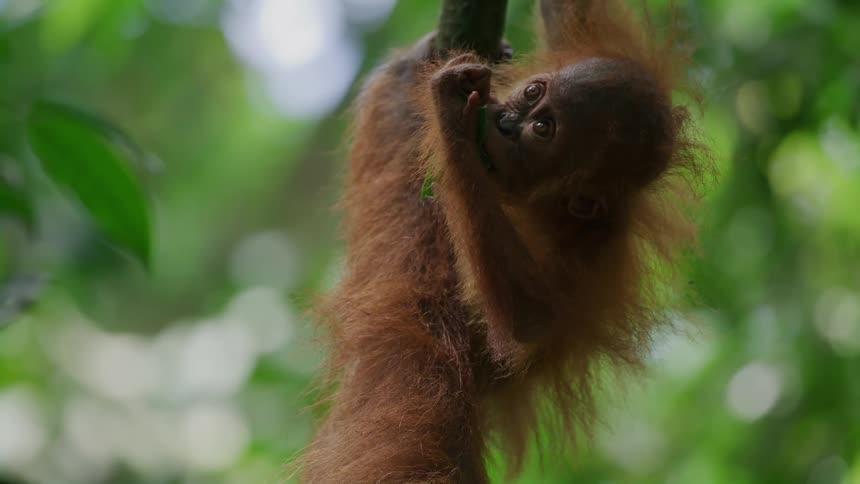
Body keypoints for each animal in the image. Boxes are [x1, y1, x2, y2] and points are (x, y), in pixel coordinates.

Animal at [298, 0, 707, 482]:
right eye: (532, 92)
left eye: (543, 128)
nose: (507, 122)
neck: (546, 206)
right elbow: (567, 15)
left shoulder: (588, 249)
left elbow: (528, 319)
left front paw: (450, 120)